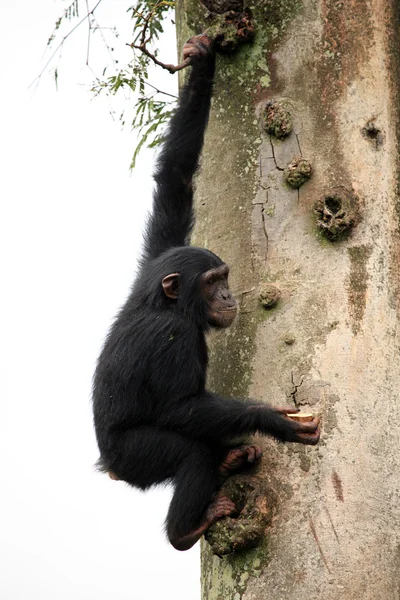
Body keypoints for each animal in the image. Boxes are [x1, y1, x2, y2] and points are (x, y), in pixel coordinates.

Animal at [92, 34, 320, 552]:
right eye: (213, 283)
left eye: (225, 277)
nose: (229, 297)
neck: (169, 305)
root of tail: (109, 467)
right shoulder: (172, 338)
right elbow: (181, 407)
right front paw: (275, 420)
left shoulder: (157, 256)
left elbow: (175, 178)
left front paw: (202, 65)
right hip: (136, 457)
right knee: (189, 451)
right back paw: (187, 527)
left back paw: (229, 462)